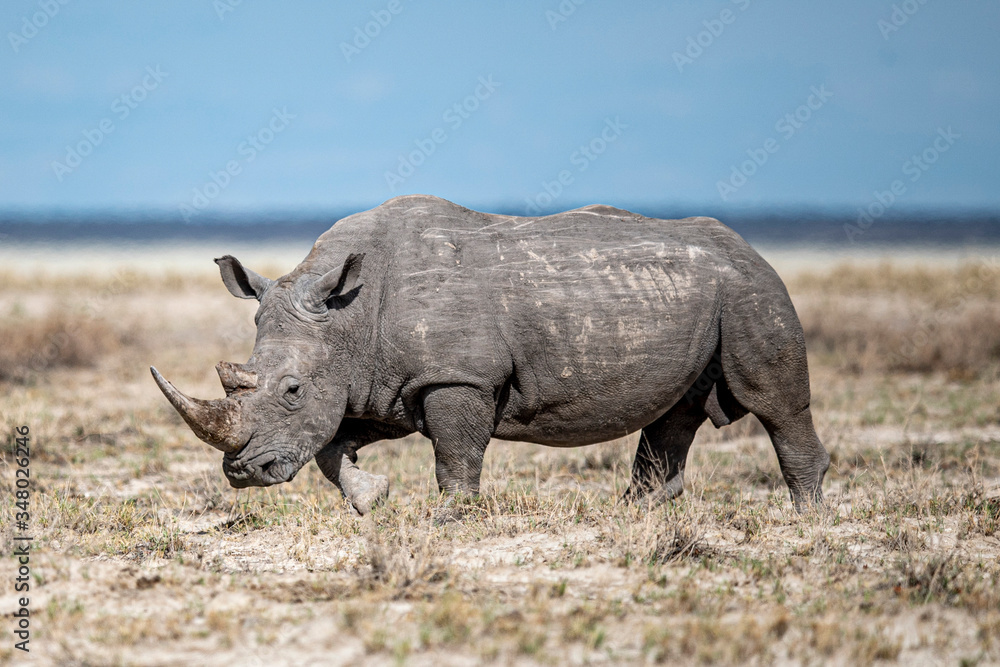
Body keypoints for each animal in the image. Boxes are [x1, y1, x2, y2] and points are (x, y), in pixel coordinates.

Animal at [151, 195, 830, 515]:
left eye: (291, 391)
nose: (244, 473)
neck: (348, 318)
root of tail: (749, 249)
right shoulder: (379, 383)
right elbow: (331, 448)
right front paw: (375, 498)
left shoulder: (457, 377)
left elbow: (455, 457)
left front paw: (449, 517)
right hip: (699, 295)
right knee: (675, 414)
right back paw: (634, 516)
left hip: (750, 290)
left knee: (774, 404)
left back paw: (805, 520)